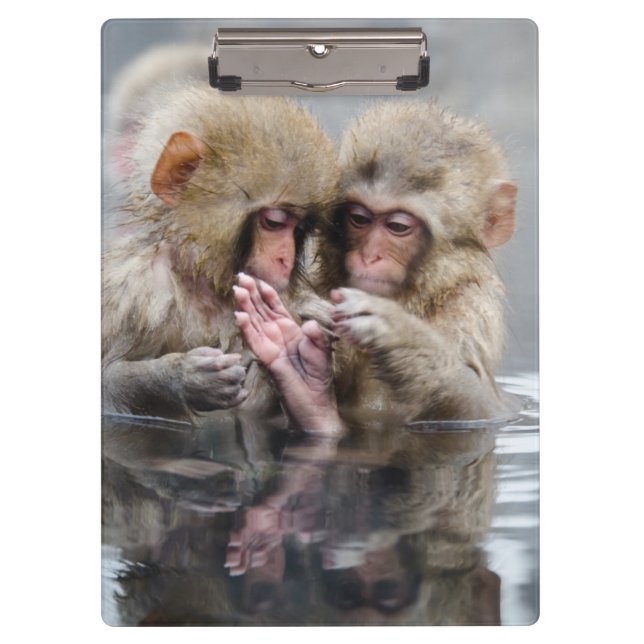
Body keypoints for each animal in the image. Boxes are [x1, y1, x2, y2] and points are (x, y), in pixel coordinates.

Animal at [102, 81, 339, 420]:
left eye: (299, 228)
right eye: (274, 222)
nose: (285, 259)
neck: (203, 280)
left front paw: (302, 370)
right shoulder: (133, 292)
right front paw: (178, 378)